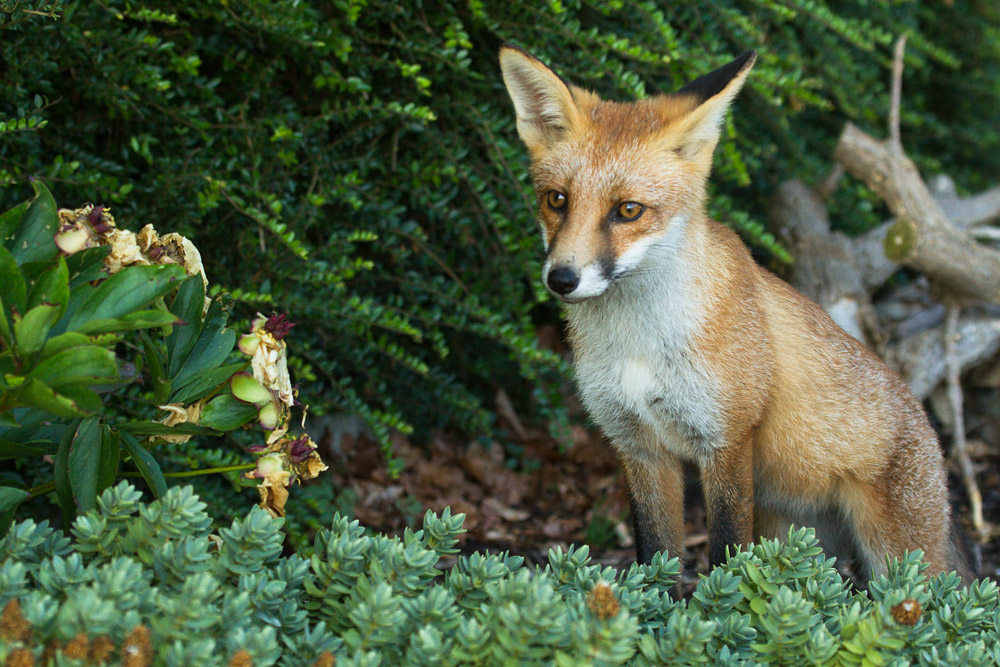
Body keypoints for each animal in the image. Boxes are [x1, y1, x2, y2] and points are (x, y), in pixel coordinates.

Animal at [498, 45, 973, 583]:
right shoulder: (638, 446)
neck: (640, 344)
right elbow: (654, 559)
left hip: (896, 557)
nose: (561, 278)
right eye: (557, 200)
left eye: (629, 210)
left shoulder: (726, 442)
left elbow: (725, 552)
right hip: (795, 540)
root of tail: (932, 435)